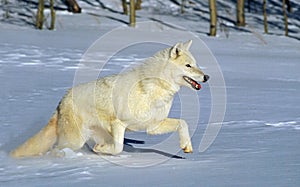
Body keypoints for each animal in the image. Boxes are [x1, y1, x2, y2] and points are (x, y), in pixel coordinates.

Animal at [10, 39, 210, 158]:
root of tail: (61, 100)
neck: (153, 88)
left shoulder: (153, 126)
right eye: (188, 66)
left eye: (196, 65)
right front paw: (102, 151)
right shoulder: (119, 124)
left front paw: (186, 146)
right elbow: (118, 148)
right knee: (56, 150)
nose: (207, 77)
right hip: (74, 140)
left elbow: (183, 123)